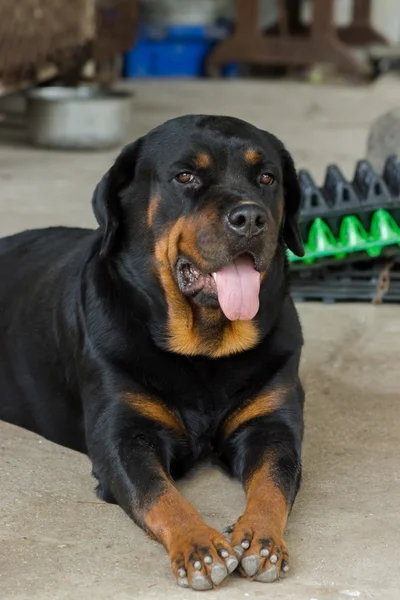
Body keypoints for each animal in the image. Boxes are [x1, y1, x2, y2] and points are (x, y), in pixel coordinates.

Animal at [0, 116, 304, 592]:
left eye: (268, 179)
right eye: (186, 176)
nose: (251, 217)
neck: (204, 353)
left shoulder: (272, 426)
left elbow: (273, 483)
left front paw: (261, 538)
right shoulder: (123, 436)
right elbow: (159, 494)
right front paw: (199, 546)